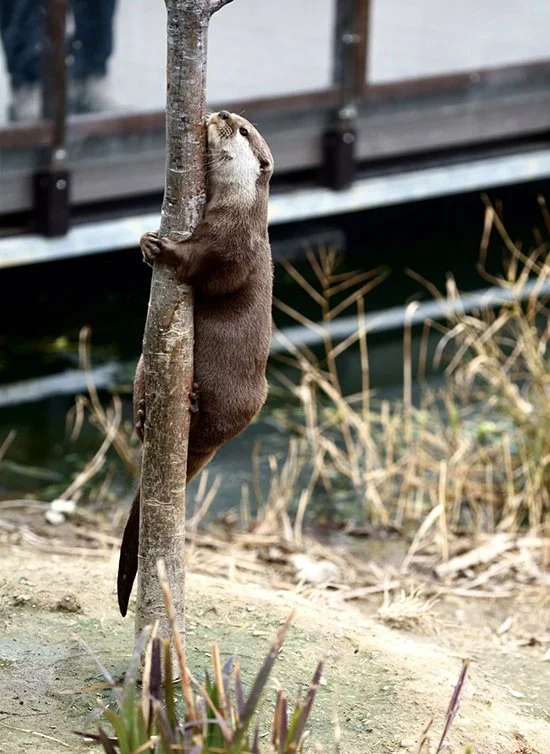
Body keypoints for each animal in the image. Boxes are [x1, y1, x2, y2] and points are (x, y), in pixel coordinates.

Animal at [117, 110, 274, 616]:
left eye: (242, 130)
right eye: (235, 118)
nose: (222, 114)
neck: (237, 211)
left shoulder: (234, 244)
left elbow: (216, 273)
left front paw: (168, 250)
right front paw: (147, 241)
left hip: (239, 397)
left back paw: (193, 403)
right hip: (142, 366)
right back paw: (145, 413)